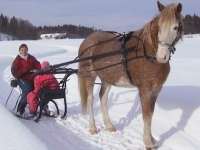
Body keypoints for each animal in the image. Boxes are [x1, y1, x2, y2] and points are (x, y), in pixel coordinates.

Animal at [77, 1, 183, 149]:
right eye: (159, 27)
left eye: (175, 27)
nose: (162, 56)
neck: (148, 52)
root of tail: (86, 41)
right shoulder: (145, 90)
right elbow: (146, 116)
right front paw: (148, 142)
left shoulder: (155, 90)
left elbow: (150, 114)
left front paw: (152, 140)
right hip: (90, 76)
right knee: (90, 100)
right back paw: (92, 127)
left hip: (107, 78)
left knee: (103, 98)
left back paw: (109, 126)